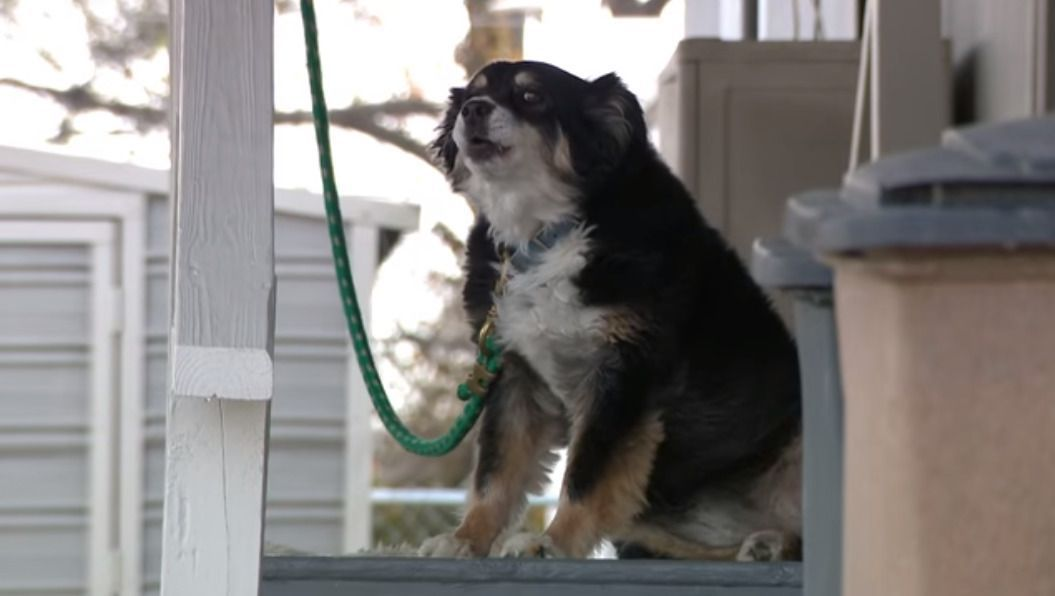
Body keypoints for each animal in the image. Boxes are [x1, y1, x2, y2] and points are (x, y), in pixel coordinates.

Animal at [417, 60, 797, 556]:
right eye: (470, 95)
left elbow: (585, 475)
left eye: (532, 97)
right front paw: (467, 539)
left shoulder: (623, 375)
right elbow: (495, 473)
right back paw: (758, 546)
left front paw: (551, 544)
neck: (546, 234)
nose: (474, 111)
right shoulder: (513, 373)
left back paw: (776, 543)